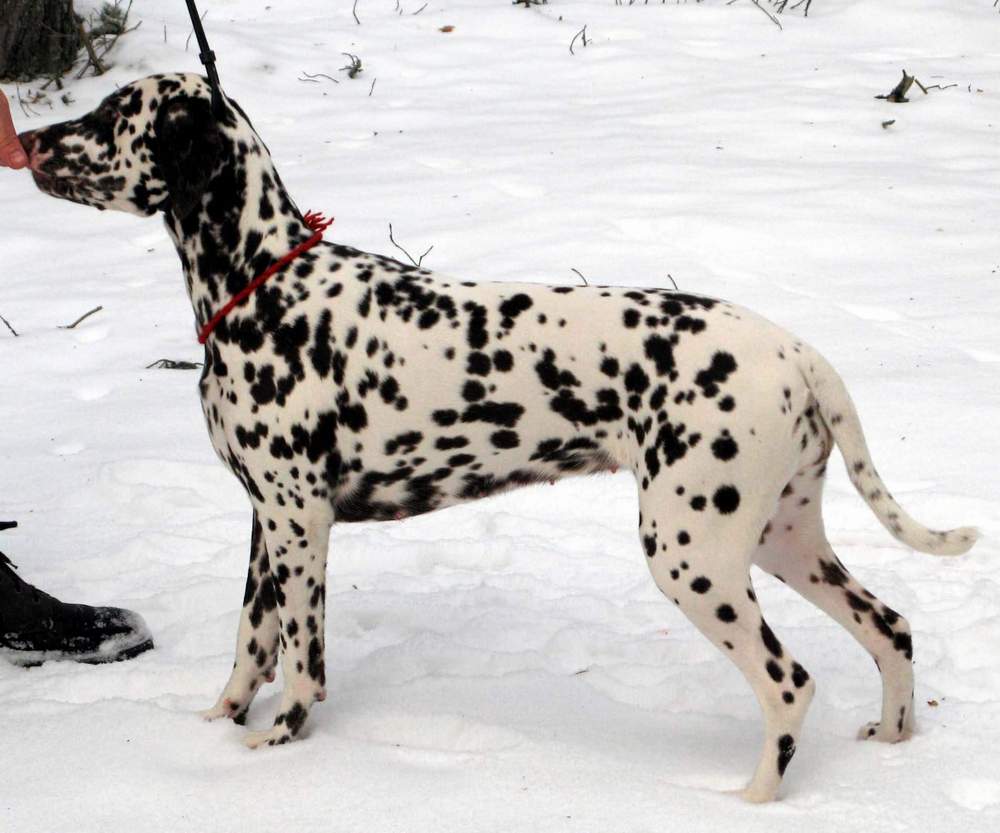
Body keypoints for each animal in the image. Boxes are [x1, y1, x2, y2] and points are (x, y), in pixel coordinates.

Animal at [21, 73, 977, 802]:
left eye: (112, 116)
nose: (26, 138)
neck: (264, 283)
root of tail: (798, 353)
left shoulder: (300, 522)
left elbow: (300, 662)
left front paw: (276, 744)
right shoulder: (266, 522)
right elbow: (249, 646)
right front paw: (214, 729)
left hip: (693, 554)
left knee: (790, 683)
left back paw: (749, 800)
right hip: (781, 539)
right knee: (891, 627)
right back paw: (893, 740)